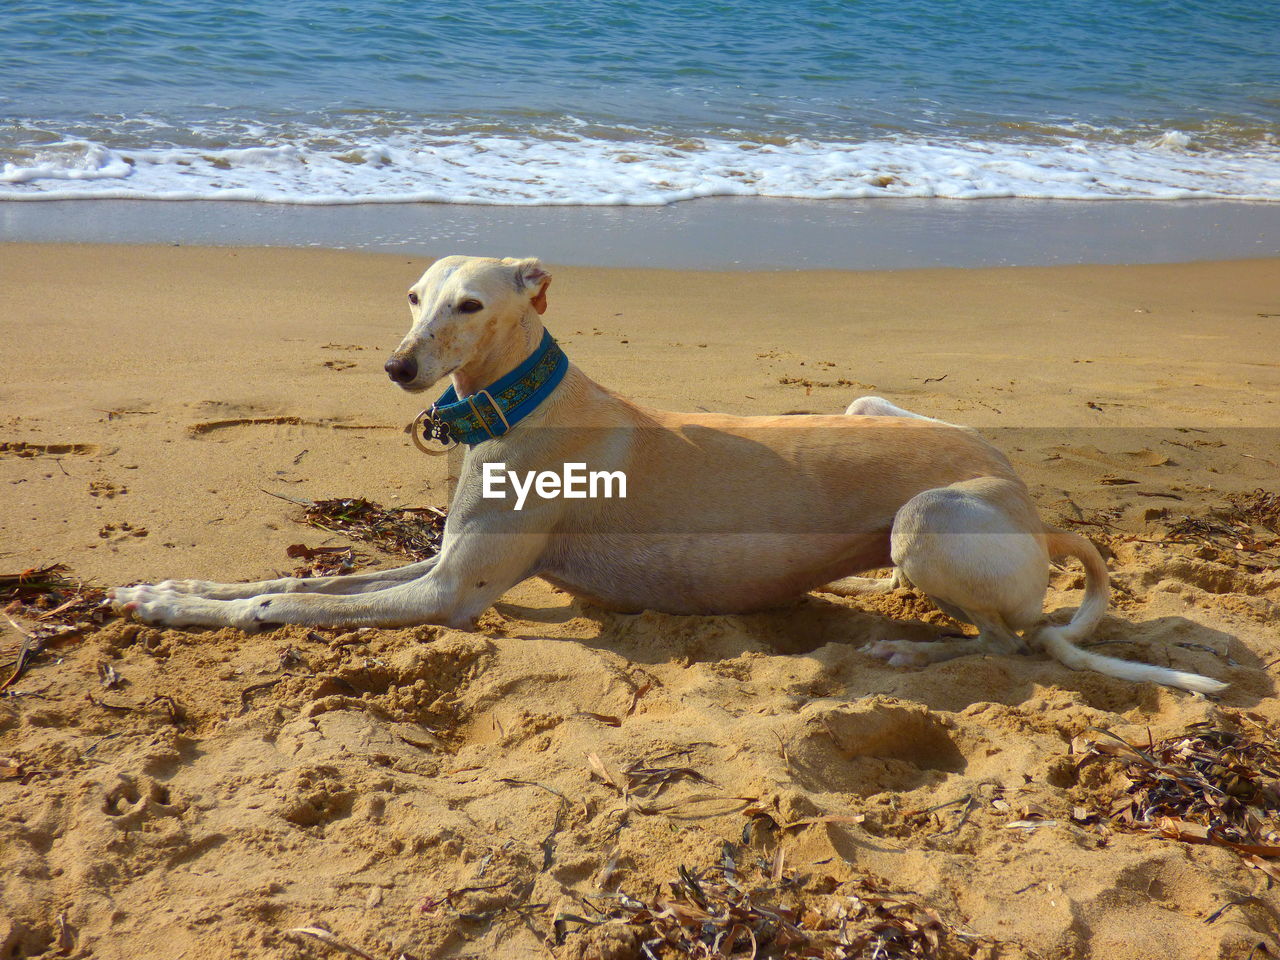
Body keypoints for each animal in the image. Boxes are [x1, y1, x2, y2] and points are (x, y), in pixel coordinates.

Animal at [112, 256, 1228, 696]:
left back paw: (910, 651)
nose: (398, 369)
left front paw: (191, 610)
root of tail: (1029, 497)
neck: (522, 407)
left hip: (928, 517)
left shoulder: (452, 593)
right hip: (872, 409)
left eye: (471, 305)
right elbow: (297, 577)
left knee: (1009, 643)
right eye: (415, 295)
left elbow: (290, 605)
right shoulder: (438, 565)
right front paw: (166, 587)